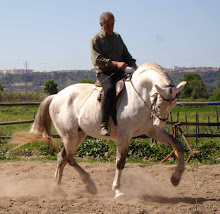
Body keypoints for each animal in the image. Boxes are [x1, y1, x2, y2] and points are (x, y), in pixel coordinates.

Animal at [12, 62, 186, 199]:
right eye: (160, 103)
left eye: (173, 104)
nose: (159, 123)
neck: (139, 95)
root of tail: (55, 96)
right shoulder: (124, 134)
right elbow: (120, 162)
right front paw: (118, 191)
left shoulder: (152, 132)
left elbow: (178, 145)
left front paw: (176, 178)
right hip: (69, 135)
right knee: (68, 157)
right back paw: (90, 185)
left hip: (78, 134)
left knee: (62, 157)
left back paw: (58, 189)